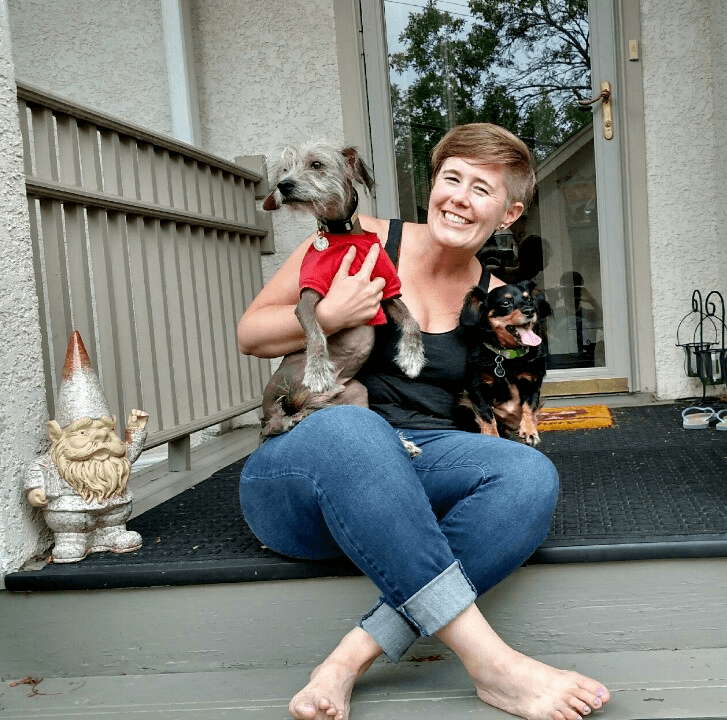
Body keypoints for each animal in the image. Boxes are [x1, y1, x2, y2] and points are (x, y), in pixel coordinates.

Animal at [258, 139, 424, 444]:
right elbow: (315, 333)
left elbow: (411, 321)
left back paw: (405, 444)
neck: (344, 235)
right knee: (277, 421)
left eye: (316, 164)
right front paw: (318, 371)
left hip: (358, 391)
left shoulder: (387, 292)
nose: (284, 185)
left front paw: (412, 359)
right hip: (283, 389)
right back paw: (291, 415)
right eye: (285, 170)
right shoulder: (307, 300)